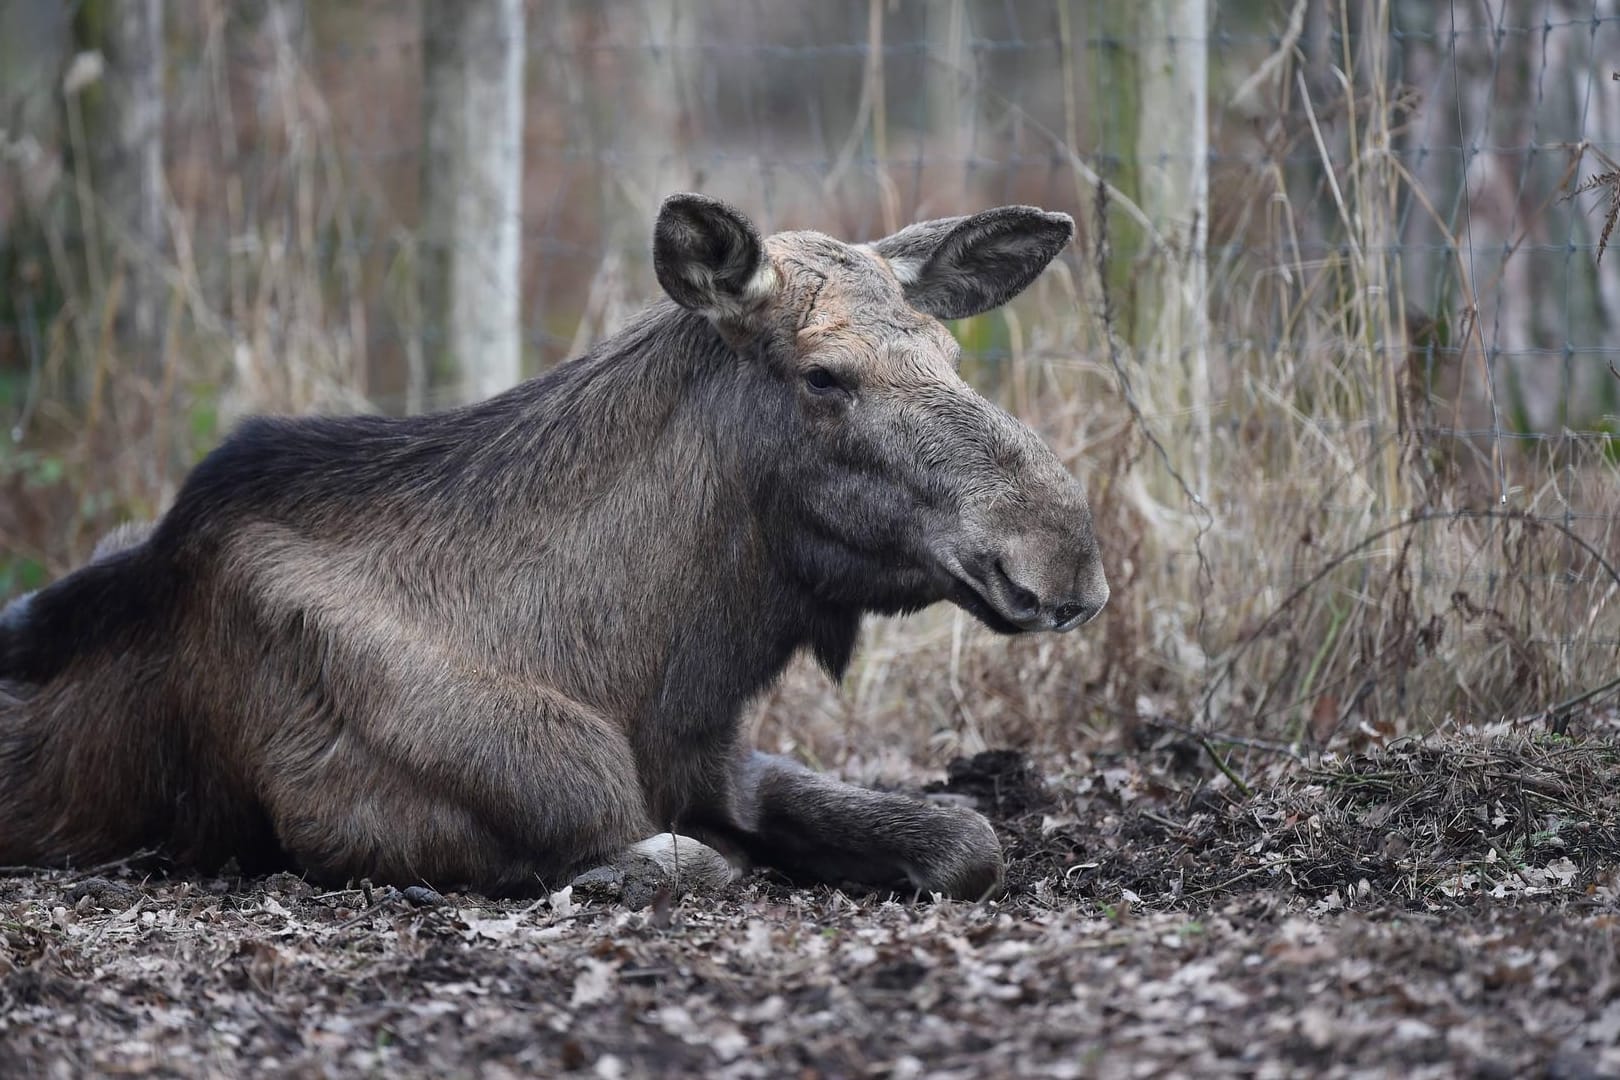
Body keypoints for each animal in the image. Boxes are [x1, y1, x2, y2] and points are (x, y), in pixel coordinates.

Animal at [0, 196, 1101, 906]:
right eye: (825, 376)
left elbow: (967, 837)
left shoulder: (723, 757)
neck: (638, 668)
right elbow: (689, 863)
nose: (1065, 558)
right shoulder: (359, 821)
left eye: (950, 353)